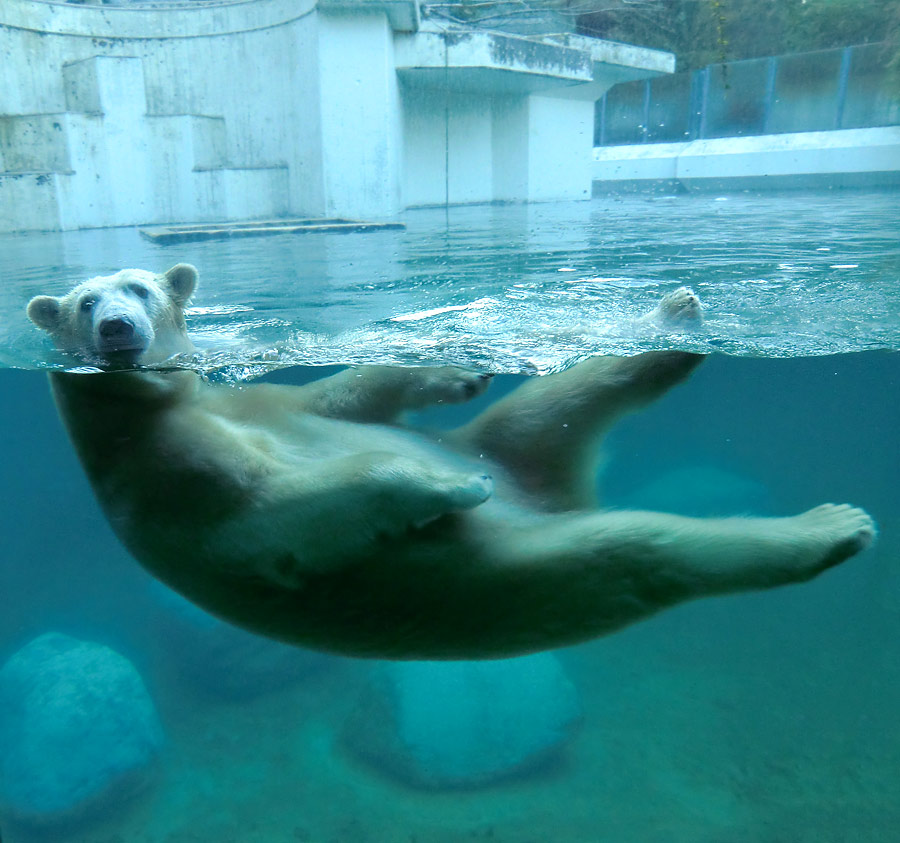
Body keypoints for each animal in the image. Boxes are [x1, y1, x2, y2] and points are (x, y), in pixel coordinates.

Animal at [29, 264, 880, 660]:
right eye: (81, 303)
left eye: (140, 286)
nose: (115, 328)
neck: (142, 417)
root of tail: (554, 496)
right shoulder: (174, 481)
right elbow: (282, 514)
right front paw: (445, 486)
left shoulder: (248, 401)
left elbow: (344, 398)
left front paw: (458, 367)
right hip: (538, 567)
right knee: (641, 546)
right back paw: (829, 525)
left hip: (514, 443)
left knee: (552, 399)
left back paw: (676, 318)